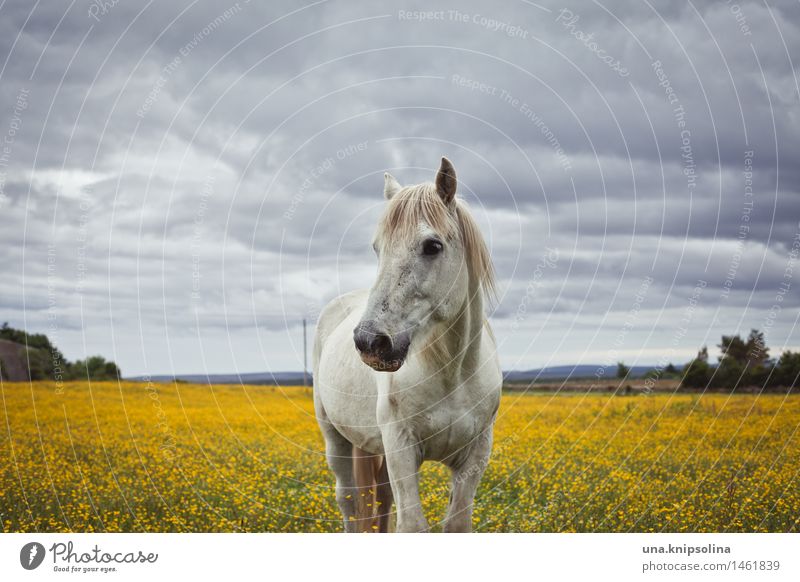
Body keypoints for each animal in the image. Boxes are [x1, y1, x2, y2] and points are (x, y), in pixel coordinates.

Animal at [312, 159, 500, 532]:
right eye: (377, 248)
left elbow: (456, 524)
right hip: (336, 438)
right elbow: (411, 524)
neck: (453, 374)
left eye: (432, 246)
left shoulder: (476, 453)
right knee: (350, 502)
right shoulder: (401, 448)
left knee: (380, 501)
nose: (370, 341)